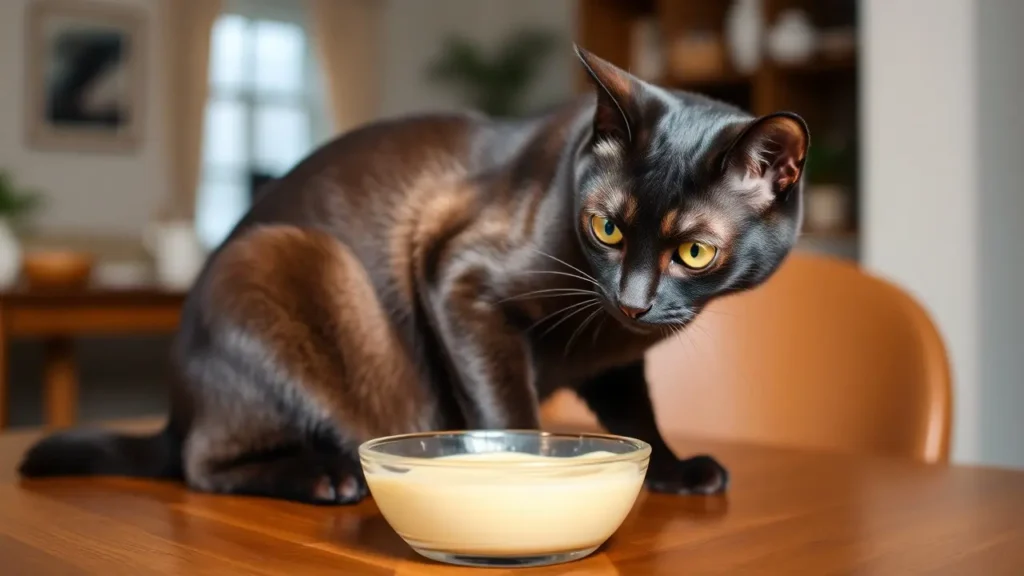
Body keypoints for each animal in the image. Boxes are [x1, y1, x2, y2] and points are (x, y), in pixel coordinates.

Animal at [18, 45, 806, 502]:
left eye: (693, 252)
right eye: (606, 227)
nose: (633, 300)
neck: (604, 325)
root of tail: (175, 409)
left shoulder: (613, 361)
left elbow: (638, 418)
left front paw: (676, 474)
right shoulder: (460, 281)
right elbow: (509, 415)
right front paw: (531, 473)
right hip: (287, 264)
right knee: (201, 465)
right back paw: (328, 478)